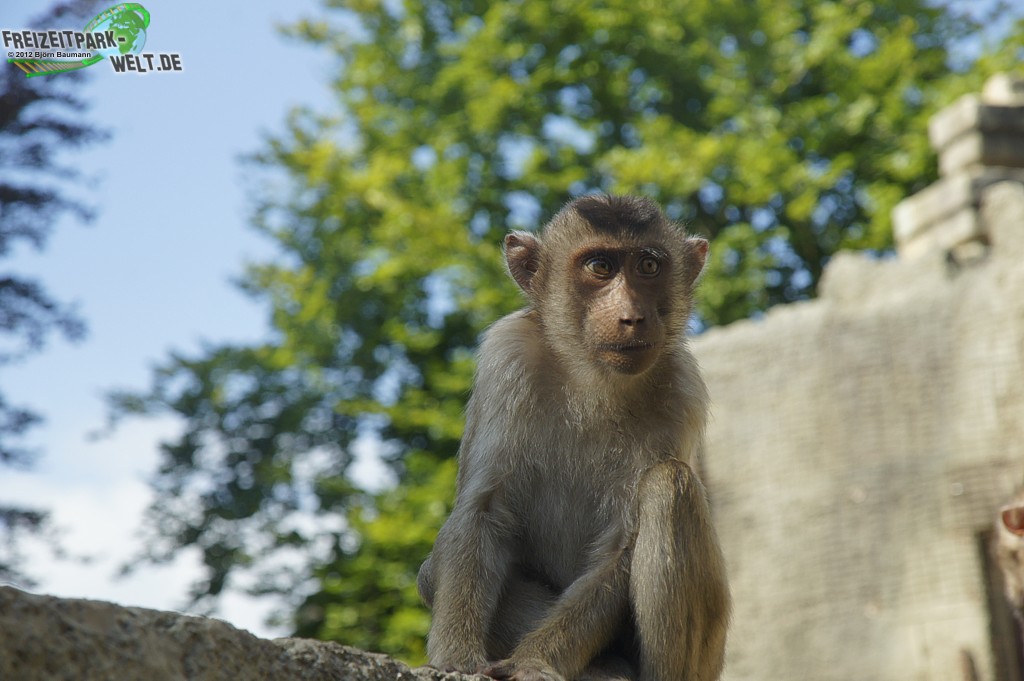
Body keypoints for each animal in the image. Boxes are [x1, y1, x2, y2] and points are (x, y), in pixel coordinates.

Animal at [415, 192, 729, 679]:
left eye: (649, 266)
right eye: (600, 267)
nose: (632, 316)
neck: (592, 380)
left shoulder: (683, 391)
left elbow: (620, 544)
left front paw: (534, 661)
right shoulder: (507, 357)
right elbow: (485, 509)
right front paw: (456, 659)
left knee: (669, 483)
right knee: (431, 573)